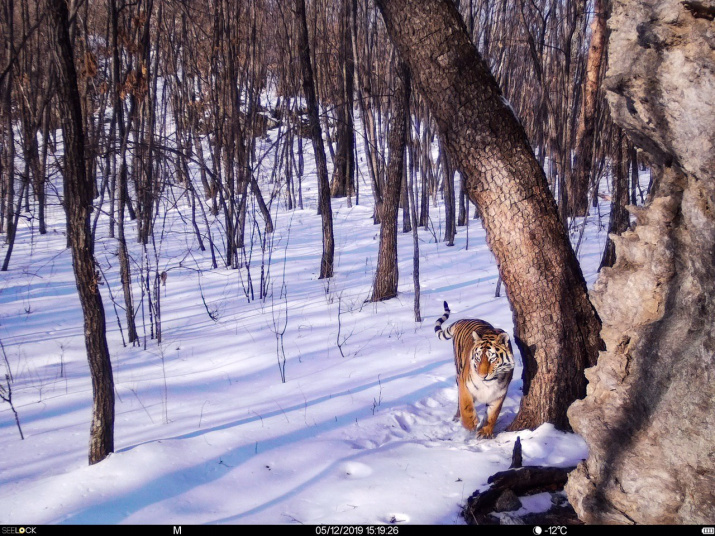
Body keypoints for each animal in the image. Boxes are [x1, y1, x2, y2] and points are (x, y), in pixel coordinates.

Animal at [436, 300, 516, 438]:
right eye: (478, 358)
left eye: (492, 359)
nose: (482, 375)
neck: (489, 384)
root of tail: (463, 319)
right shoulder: (464, 383)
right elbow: (466, 405)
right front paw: (470, 425)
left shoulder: (499, 393)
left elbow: (493, 414)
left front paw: (485, 432)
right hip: (458, 370)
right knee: (459, 402)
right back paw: (457, 417)